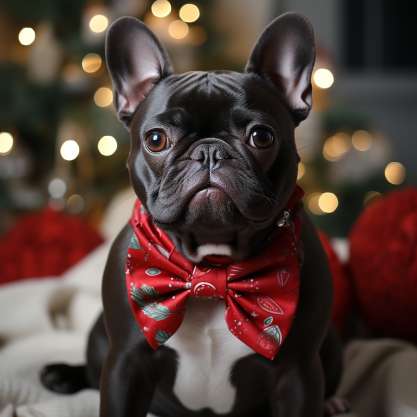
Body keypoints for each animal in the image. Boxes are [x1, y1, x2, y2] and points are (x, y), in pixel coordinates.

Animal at [41, 11, 342, 414]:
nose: (209, 150)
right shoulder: (125, 362)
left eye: (261, 136)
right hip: (97, 334)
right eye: (156, 139)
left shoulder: (298, 371)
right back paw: (61, 374)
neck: (212, 264)